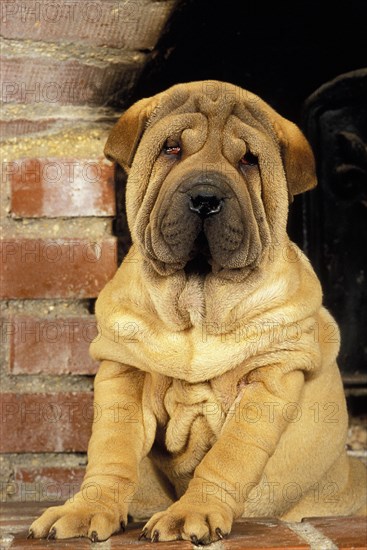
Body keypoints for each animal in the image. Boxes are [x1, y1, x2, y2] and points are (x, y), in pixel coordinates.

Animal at [30, 82, 366, 548]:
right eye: (171, 148)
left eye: (248, 160)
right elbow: (111, 449)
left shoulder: (271, 374)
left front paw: (194, 512)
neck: (197, 303)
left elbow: (229, 456)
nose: (205, 198)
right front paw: (88, 507)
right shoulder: (123, 368)